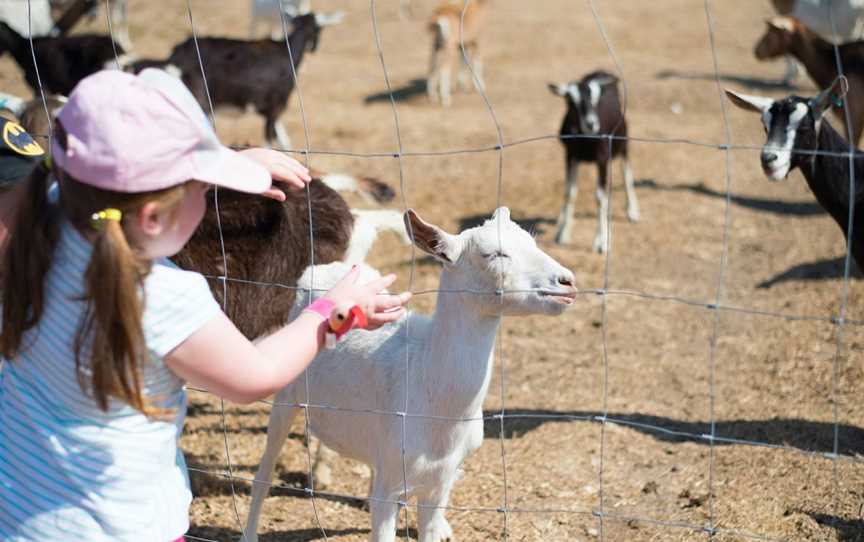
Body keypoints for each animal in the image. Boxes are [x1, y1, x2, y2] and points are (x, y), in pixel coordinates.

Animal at [243, 207, 576, 542]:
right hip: (285, 392)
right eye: (494, 254)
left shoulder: (438, 482)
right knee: (265, 472)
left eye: (532, 243)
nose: (567, 282)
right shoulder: (392, 486)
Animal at [552, 69, 636, 253]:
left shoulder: (602, 159)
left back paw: (633, 211)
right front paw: (563, 233)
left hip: (623, 142)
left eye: (596, 100)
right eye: (571, 101)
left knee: (626, 172)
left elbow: (600, 197)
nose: (591, 124)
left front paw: (601, 242)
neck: (586, 139)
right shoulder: (571, 155)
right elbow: (570, 193)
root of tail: (601, 71)